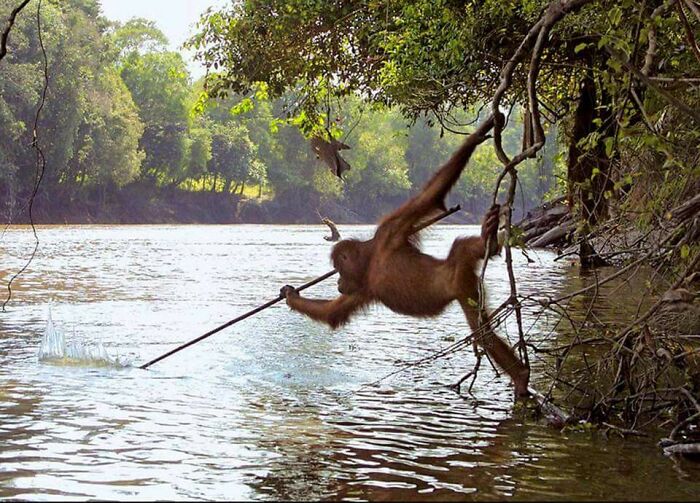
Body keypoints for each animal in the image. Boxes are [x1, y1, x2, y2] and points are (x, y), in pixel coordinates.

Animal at [280, 116, 530, 398]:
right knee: (464, 253)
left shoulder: (391, 229)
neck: (372, 258)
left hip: (460, 282)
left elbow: (428, 197)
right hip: (464, 274)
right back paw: (490, 239)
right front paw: (291, 295)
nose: (338, 283)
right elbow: (334, 312)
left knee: (481, 331)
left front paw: (478, 134)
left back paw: (520, 375)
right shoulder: (363, 287)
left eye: (339, 269)